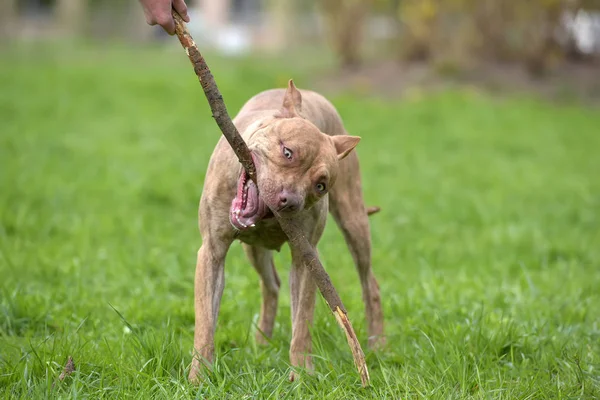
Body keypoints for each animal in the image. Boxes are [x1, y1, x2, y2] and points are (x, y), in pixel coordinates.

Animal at [189, 79, 384, 382]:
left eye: (320, 186)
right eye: (288, 152)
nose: (289, 201)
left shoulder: (307, 260)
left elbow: (302, 322)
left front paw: (302, 374)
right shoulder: (212, 252)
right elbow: (206, 323)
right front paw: (199, 378)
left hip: (354, 221)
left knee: (369, 284)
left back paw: (377, 345)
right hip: (254, 250)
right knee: (271, 285)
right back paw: (262, 342)